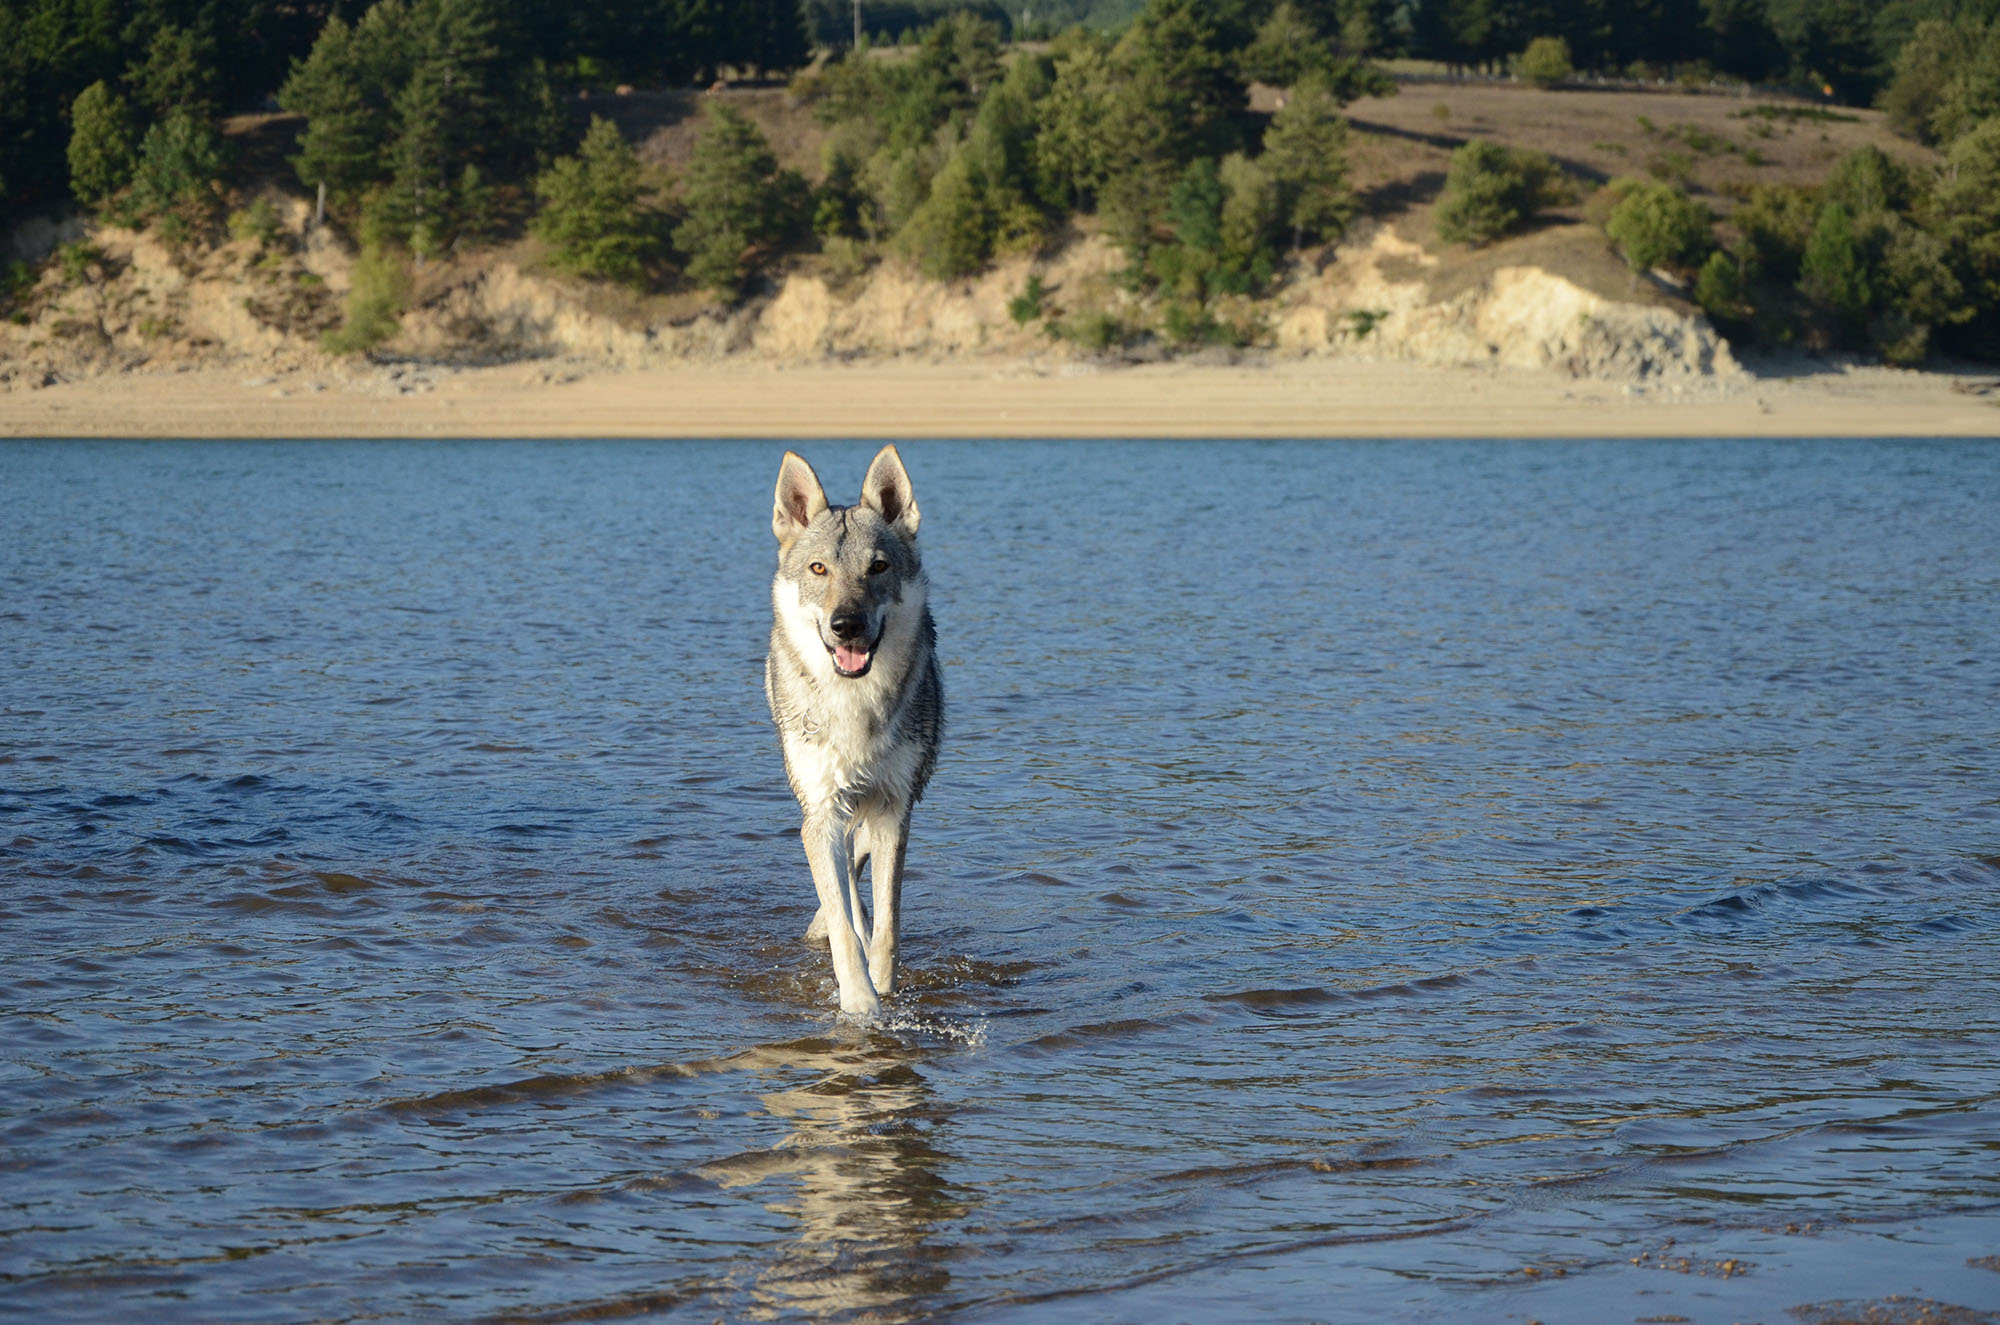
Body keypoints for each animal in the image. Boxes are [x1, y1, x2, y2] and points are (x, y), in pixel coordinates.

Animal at [772, 446, 944, 1016]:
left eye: (878, 567)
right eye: (818, 568)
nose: (846, 624)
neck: (854, 702)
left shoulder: (894, 810)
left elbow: (888, 928)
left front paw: (884, 991)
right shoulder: (823, 813)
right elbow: (847, 928)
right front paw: (860, 1004)